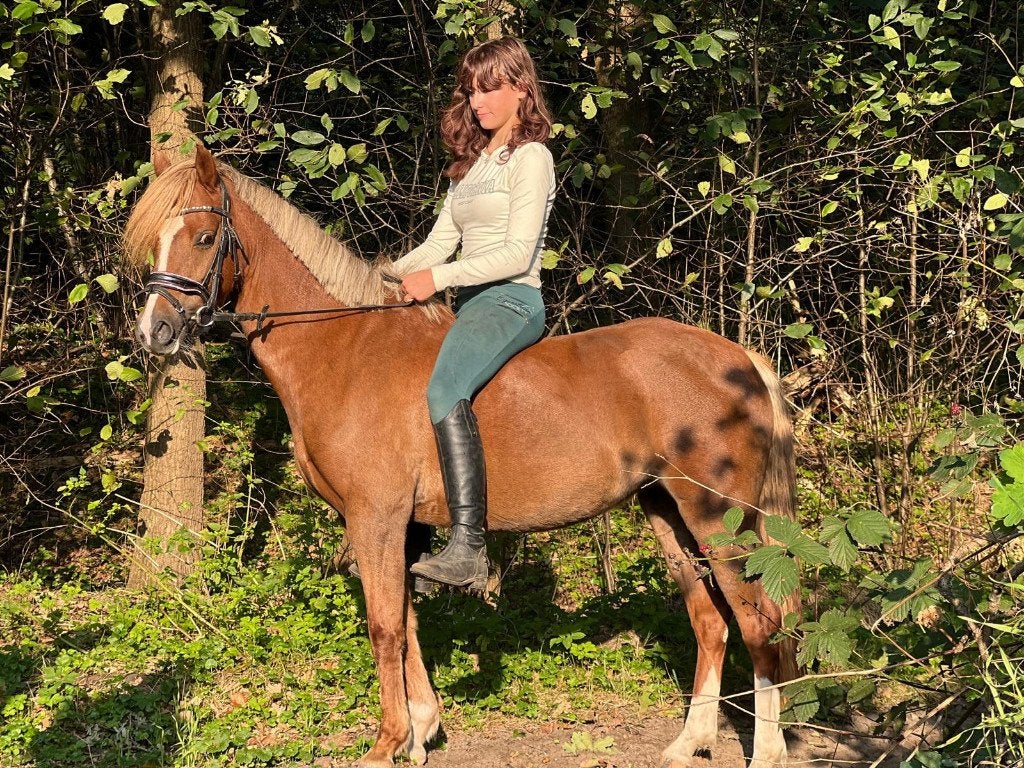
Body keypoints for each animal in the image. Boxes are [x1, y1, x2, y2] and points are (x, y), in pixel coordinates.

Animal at [127, 144, 801, 768]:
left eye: (204, 237)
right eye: (156, 242)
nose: (154, 332)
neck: (341, 347)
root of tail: (738, 360)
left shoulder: (375, 517)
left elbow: (384, 626)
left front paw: (388, 743)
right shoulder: (400, 525)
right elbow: (406, 620)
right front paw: (422, 730)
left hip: (719, 518)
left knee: (759, 620)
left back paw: (767, 750)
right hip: (667, 511)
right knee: (710, 620)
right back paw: (690, 741)